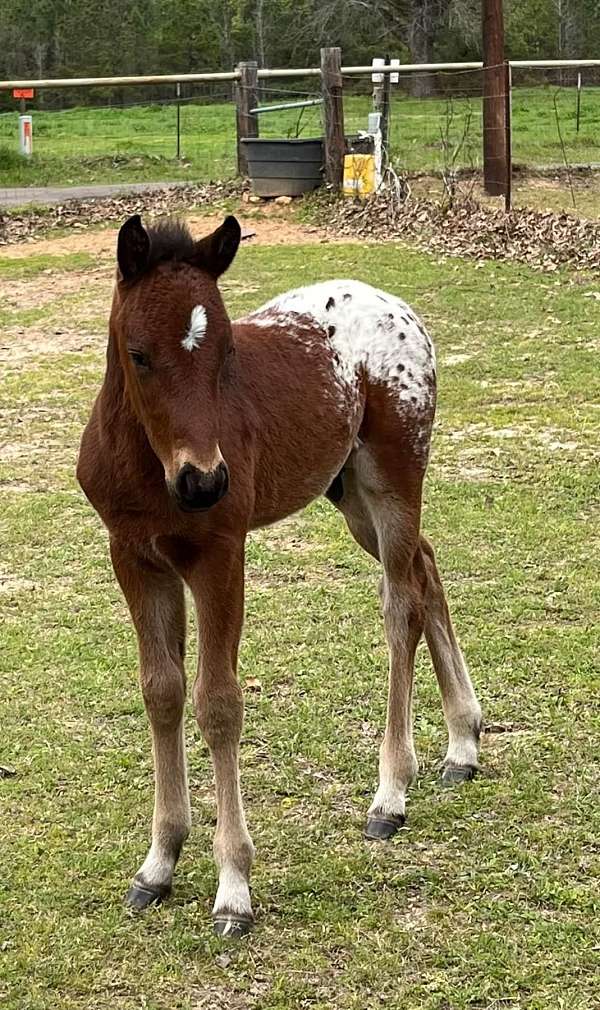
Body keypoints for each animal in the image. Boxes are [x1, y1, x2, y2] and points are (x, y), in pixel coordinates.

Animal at [78, 215, 480, 937]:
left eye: (225, 352)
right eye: (140, 354)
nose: (204, 482)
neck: (152, 470)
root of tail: (398, 308)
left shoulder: (219, 555)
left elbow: (217, 703)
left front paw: (233, 888)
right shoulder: (135, 557)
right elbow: (161, 692)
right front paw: (158, 864)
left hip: (394, 478)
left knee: (400, 604)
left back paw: (391, 793)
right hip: (349, 495)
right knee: (427, 570)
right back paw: (463, 744)